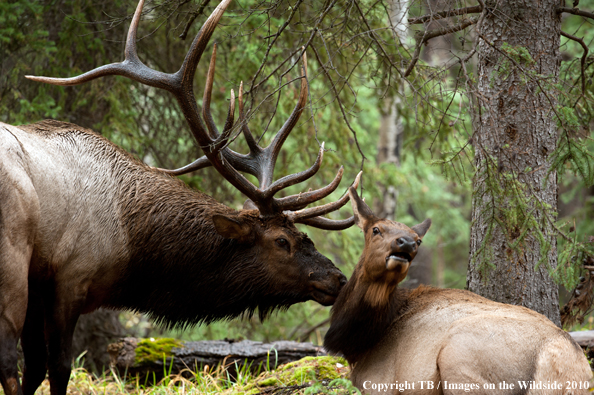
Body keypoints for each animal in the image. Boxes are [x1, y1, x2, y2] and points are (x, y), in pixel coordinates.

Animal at [0, 0, 360, 395]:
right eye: (282, 241)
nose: (338, 279)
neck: (131, 248)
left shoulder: (41, 285)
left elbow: (36, 367)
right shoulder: (69, 278)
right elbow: (58, 366)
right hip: (12, 258)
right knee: (7, 361)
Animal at [324, 189, 592, 395]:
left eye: (418, 240)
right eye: (376, 229)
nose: (406, 243)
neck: (359, 343)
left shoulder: (378, 383)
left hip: (459, 359)